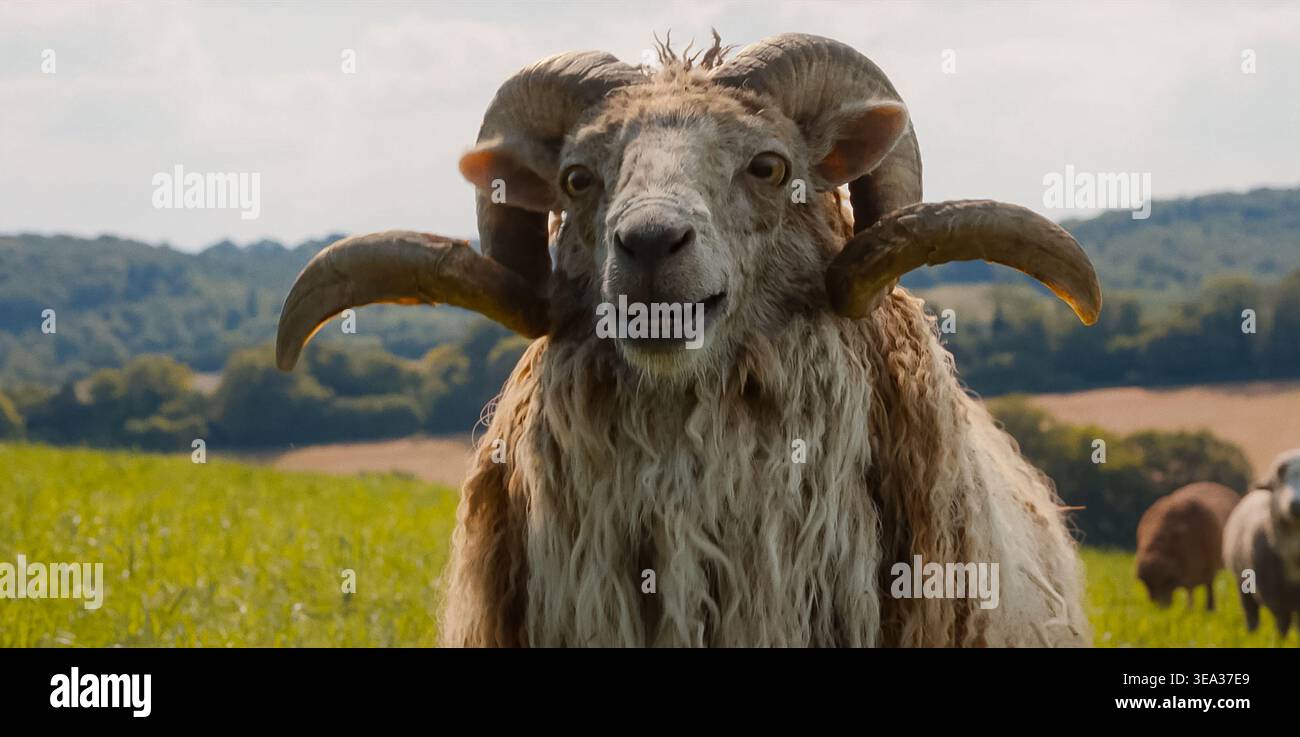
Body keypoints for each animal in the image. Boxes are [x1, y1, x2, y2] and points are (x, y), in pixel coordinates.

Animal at [1134, 482, 1239, 610]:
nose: (1160, 609)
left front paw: (1209, 609)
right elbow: (1189, 591)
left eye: (1168, 580)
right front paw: (1189, 610)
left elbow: (1209, 588)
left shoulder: (1208, 565)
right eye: (1146, 583)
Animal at [1222, 449, 1300, 635]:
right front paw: (1280, 640)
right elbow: (1282, 621)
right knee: (1252, 615)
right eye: (1278, 482)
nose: (1296, 505)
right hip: (1243, 584)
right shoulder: (1271, 590)